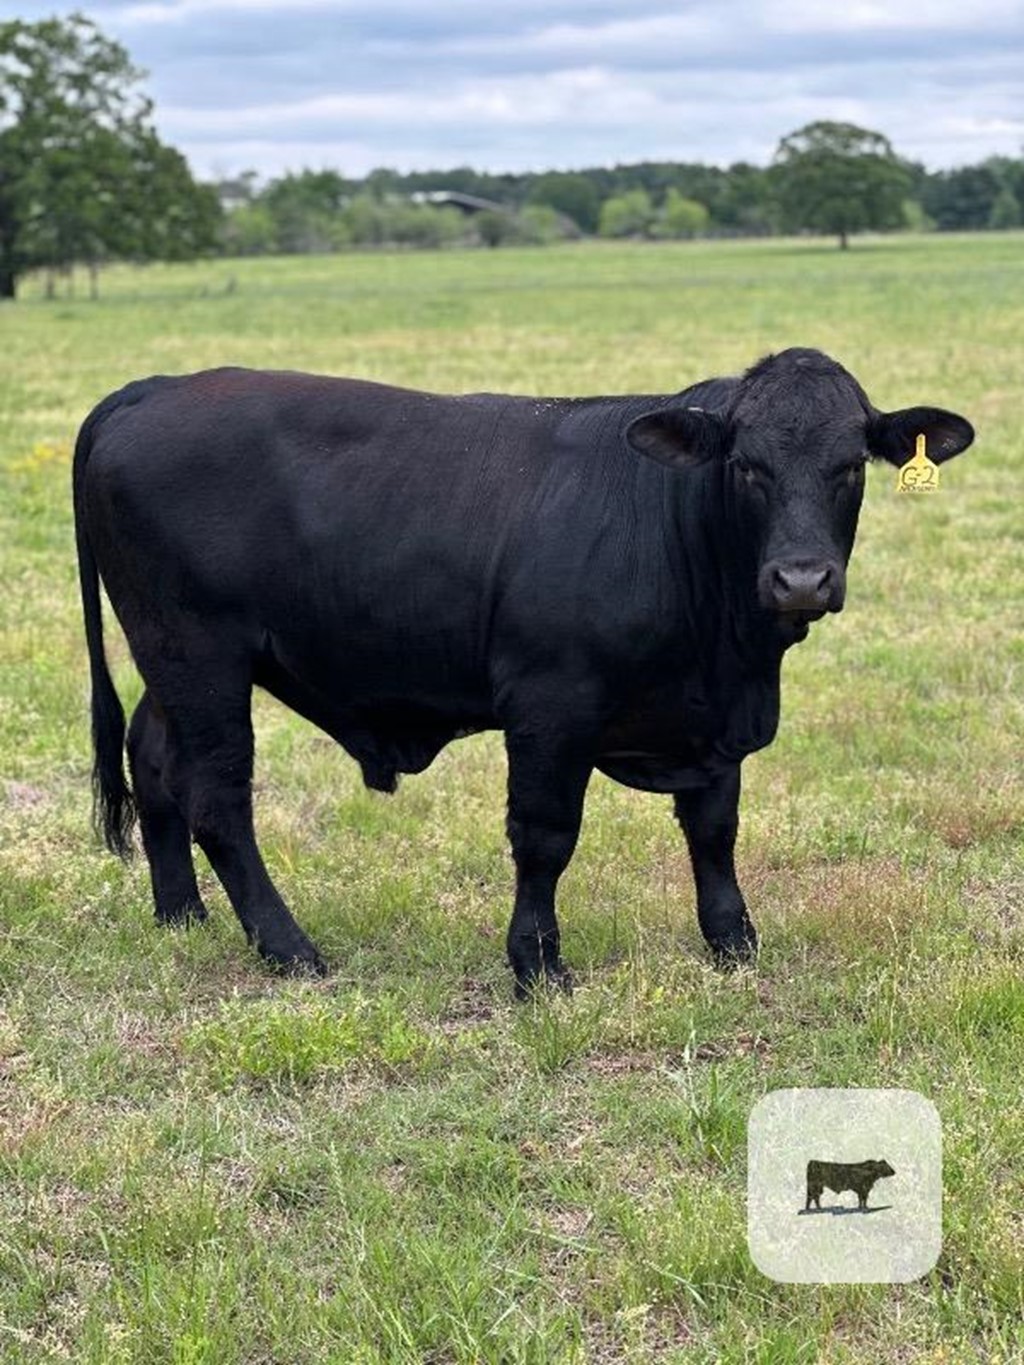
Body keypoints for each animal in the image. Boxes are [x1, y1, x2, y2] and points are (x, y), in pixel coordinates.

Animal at [76, 349, 972, 993]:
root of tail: (153, 388)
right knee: (219, 800)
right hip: (201, 656)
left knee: (153, 760)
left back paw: (182, 915)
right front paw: (537, 964)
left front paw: (732, 940)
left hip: (170, 663)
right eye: (747, 465)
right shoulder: (551, 707)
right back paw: (290, 948)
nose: (801, 579)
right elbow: (545, 838)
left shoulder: (713, 722)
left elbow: (714, 830)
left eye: (849, 464)